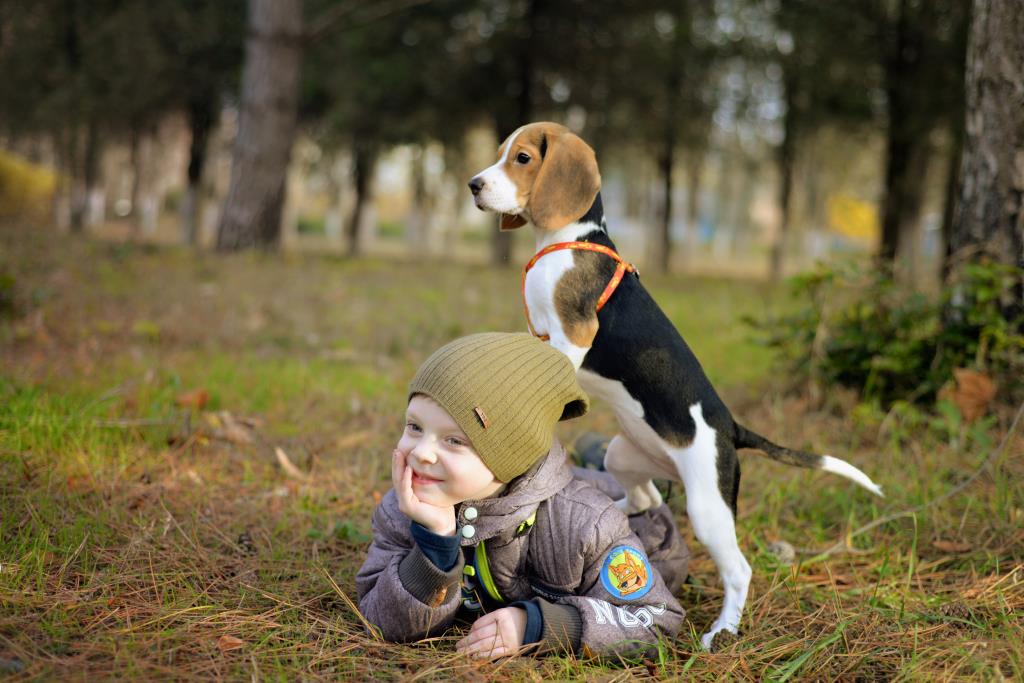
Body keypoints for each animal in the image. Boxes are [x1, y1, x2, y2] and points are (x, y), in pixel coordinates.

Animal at [468, 122, 880, 651]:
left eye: (522, 158)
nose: (474, 185)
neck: (567, 239)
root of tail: (732, 429)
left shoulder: (573, 336)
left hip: (708, 508)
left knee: (739, 569)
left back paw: (723, 629)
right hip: (625, 455)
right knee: (648, 499)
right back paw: (615, 511)